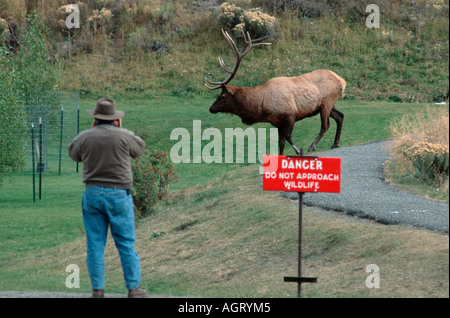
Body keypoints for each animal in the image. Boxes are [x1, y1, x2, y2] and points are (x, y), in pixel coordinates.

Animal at [206, 29, 346, 154]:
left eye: (223, 96)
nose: (211, 108)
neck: (262, 107)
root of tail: (342, 81)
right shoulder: (277, 122)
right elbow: (281, 142)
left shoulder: (291, 114)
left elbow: (288, 136)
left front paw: (298, 151)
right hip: (327, 104)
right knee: (340, 116)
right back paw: (335, 143)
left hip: (327, 102)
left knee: (325, 125)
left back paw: (312, 147)